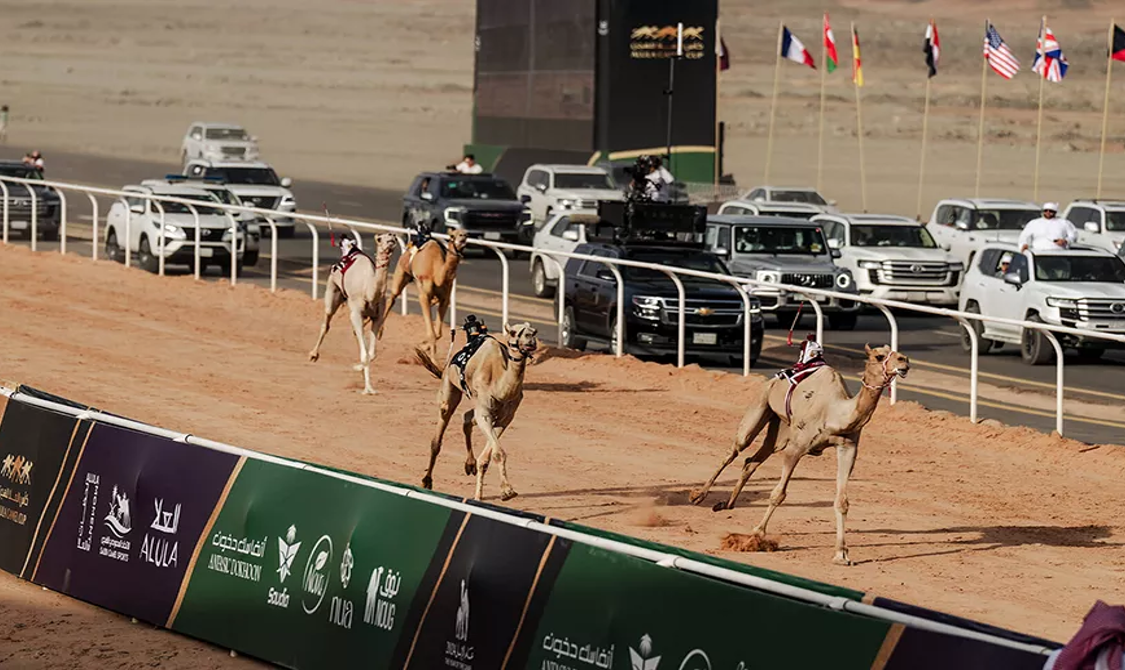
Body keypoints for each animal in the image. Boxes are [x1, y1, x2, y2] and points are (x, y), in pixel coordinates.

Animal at [308, 233, 399, 395]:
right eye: (379, 239)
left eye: (392, 236)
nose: (392, 235)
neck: (369, 291)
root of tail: (350, 249)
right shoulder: (355, 313)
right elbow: (365, 354)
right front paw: (367, 388)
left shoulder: (377, 317)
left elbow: (371, 353)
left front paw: (363, 375)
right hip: (332, 290)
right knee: (326, 322)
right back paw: (313, 355)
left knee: (357, 336)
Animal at [380, 228, 470, 360]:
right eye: (452, 236)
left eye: (467, 234)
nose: (463, 236)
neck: (436, 273)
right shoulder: (424, 295)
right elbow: (432, 333)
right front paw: (431, 359)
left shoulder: (445, 298)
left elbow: (438, 333)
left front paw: (423, 346)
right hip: (401, 271)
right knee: (393, 297)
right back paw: (379, 332)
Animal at [414, 322, 539, 502]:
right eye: (514, 332)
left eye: (535, 331)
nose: (530, 338)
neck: (500, 386)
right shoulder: (485, 413)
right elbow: (498, 452)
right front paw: (507, 491)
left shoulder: (504, 418)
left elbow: (489, 456)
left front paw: (497, 492)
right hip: (449, 386)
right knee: (440, 430)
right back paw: (427, 480)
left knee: (466, 418)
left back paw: (469, 464)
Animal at [688, 344, 910, 565]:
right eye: (879, 356)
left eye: (895, 352)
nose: (904, 361)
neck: (834, 413)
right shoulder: (796, 448)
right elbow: (778, 494)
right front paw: (756, 535)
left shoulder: (848, 448)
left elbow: (842, 501)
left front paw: (841, 554)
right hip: (761, 406)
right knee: (734, 450)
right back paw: (698, 496)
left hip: (780, 431)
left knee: (751, 461)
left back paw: (726, 504)